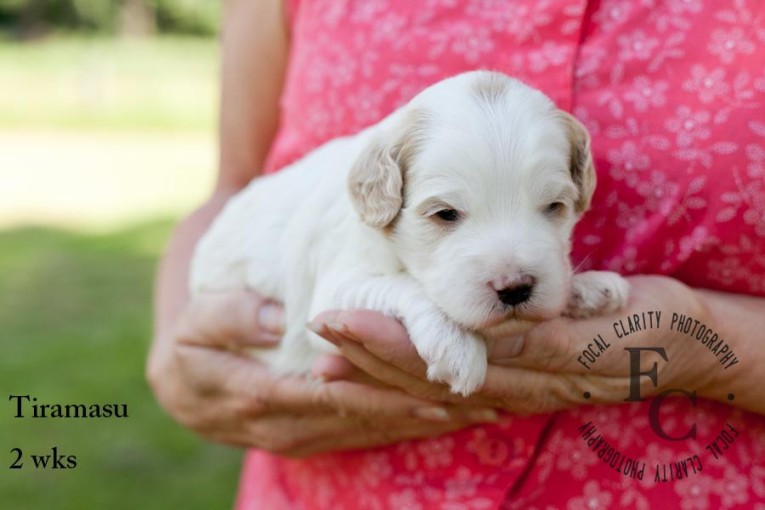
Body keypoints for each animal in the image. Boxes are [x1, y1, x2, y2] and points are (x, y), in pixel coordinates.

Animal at [190, 71, 628, 396]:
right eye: (445, 214)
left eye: (554, 207)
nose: (515, 288)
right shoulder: (327, 298)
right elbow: (403, 285)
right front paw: (456, 346)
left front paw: (588, 287)